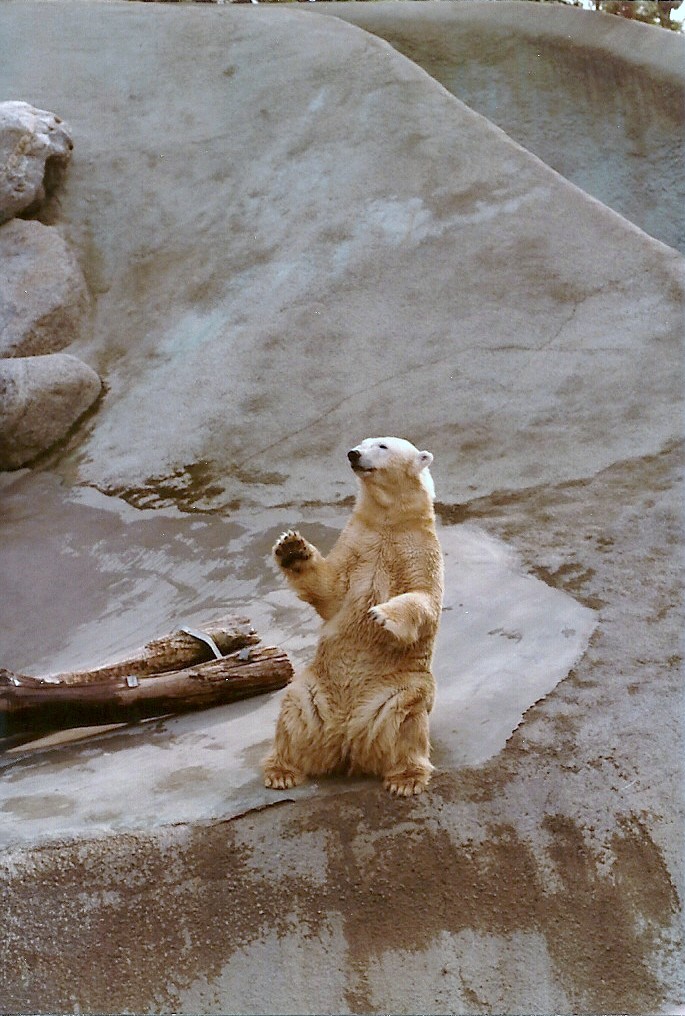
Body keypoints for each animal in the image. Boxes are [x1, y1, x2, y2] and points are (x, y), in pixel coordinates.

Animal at [262, 436, 444, 797]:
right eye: (362, 442)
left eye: (382, 446)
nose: (353, 454)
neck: (389, 521)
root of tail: (346, 740)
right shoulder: (358, 543)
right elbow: (329, 590)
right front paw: (291, 548)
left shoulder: (419, 550)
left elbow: (424, 599)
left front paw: (382, 616)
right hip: (313, 689)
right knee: (294, 714)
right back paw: (282, 771)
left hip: (399, 688)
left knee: (407, 721)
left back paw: (405, 779)